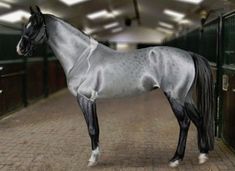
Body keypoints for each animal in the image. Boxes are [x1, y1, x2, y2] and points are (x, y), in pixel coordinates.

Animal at [16, 6, 215, 167]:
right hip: (185, 96)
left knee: (185, 123)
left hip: (175, 97)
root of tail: (189, 54)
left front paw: (92, 160)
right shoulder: (92, 100)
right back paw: (202, 155)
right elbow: (96, 128)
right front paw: (96, 156)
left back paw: (176, 159)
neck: (82, 58)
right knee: (199, 119)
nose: (20, 48)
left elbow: (91, 128)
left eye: (34, 26)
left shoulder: (84, 98)